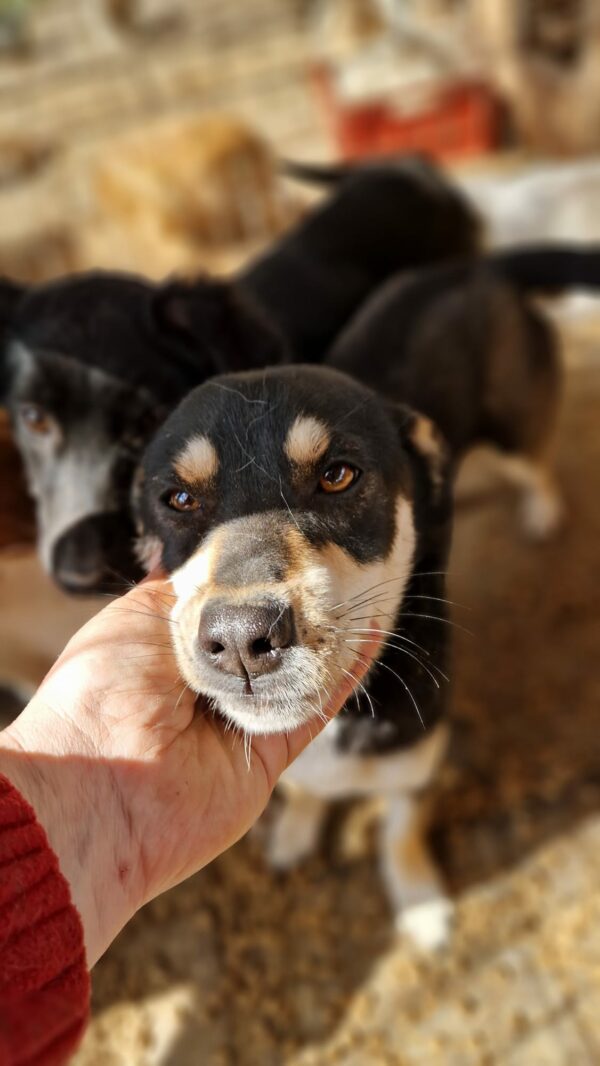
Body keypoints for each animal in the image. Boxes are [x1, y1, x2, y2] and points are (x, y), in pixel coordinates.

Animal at [137, 366, 456, 950]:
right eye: (179, 499)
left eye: (338, 475)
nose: (240, 640)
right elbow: (307, 790)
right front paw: (294, 831)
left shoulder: (418, 753)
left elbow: (401, 829)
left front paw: (420, 902)